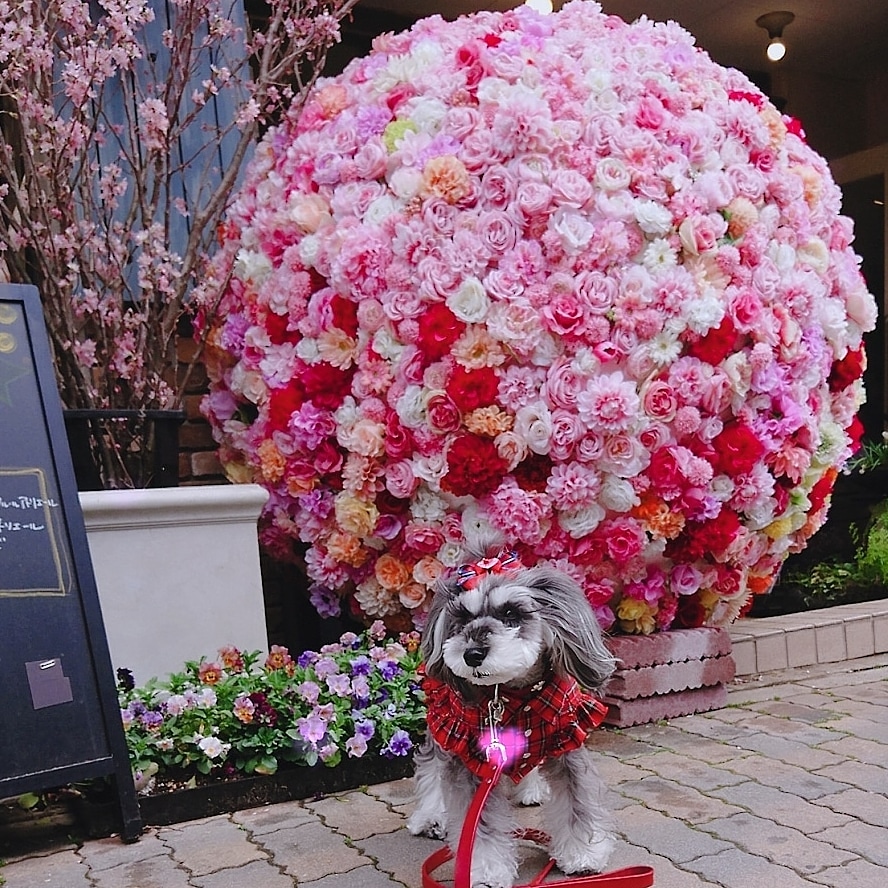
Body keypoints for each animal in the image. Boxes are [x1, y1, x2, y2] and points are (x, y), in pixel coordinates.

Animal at [408, 536, 616, 888]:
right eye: (462, 619)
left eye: (510, 613)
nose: (472, 654)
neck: (511, 695)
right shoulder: (470, 756)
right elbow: (479, 828)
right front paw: (486, 870)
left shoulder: (567, 740)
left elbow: (577, 804)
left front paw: (582, 854)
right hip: (441, 721)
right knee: (431, 765)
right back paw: (430, 816)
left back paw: (530, 789)